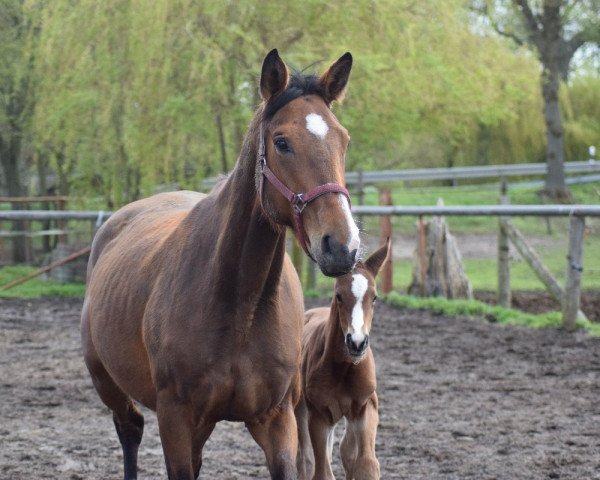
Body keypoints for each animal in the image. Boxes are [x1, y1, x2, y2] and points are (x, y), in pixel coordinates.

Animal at [296, 242, 390, 478]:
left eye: (374, 297)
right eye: (339, 295)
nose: (356, 343)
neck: (345, 369)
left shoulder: (366, 407)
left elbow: (365, 464)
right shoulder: (319, 415)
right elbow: (322, 470)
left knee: (346, 452)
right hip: (300, 408)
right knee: (306, 459)